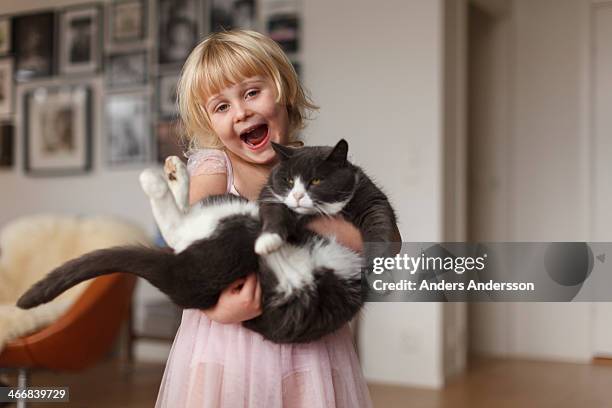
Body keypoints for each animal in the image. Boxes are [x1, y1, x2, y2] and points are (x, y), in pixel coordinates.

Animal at [16, 140, 396, 344]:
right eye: (288, 181)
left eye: (316, 180)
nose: (299, 196)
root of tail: (179, 275)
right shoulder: (269, 199)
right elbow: (275, 214)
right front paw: (272, 236)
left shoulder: (371, 197)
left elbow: (384, 226)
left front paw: (378, 265)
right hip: (239, 215)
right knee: (181, 227)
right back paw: (165, 174)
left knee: (182, 228)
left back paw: (166, 176)